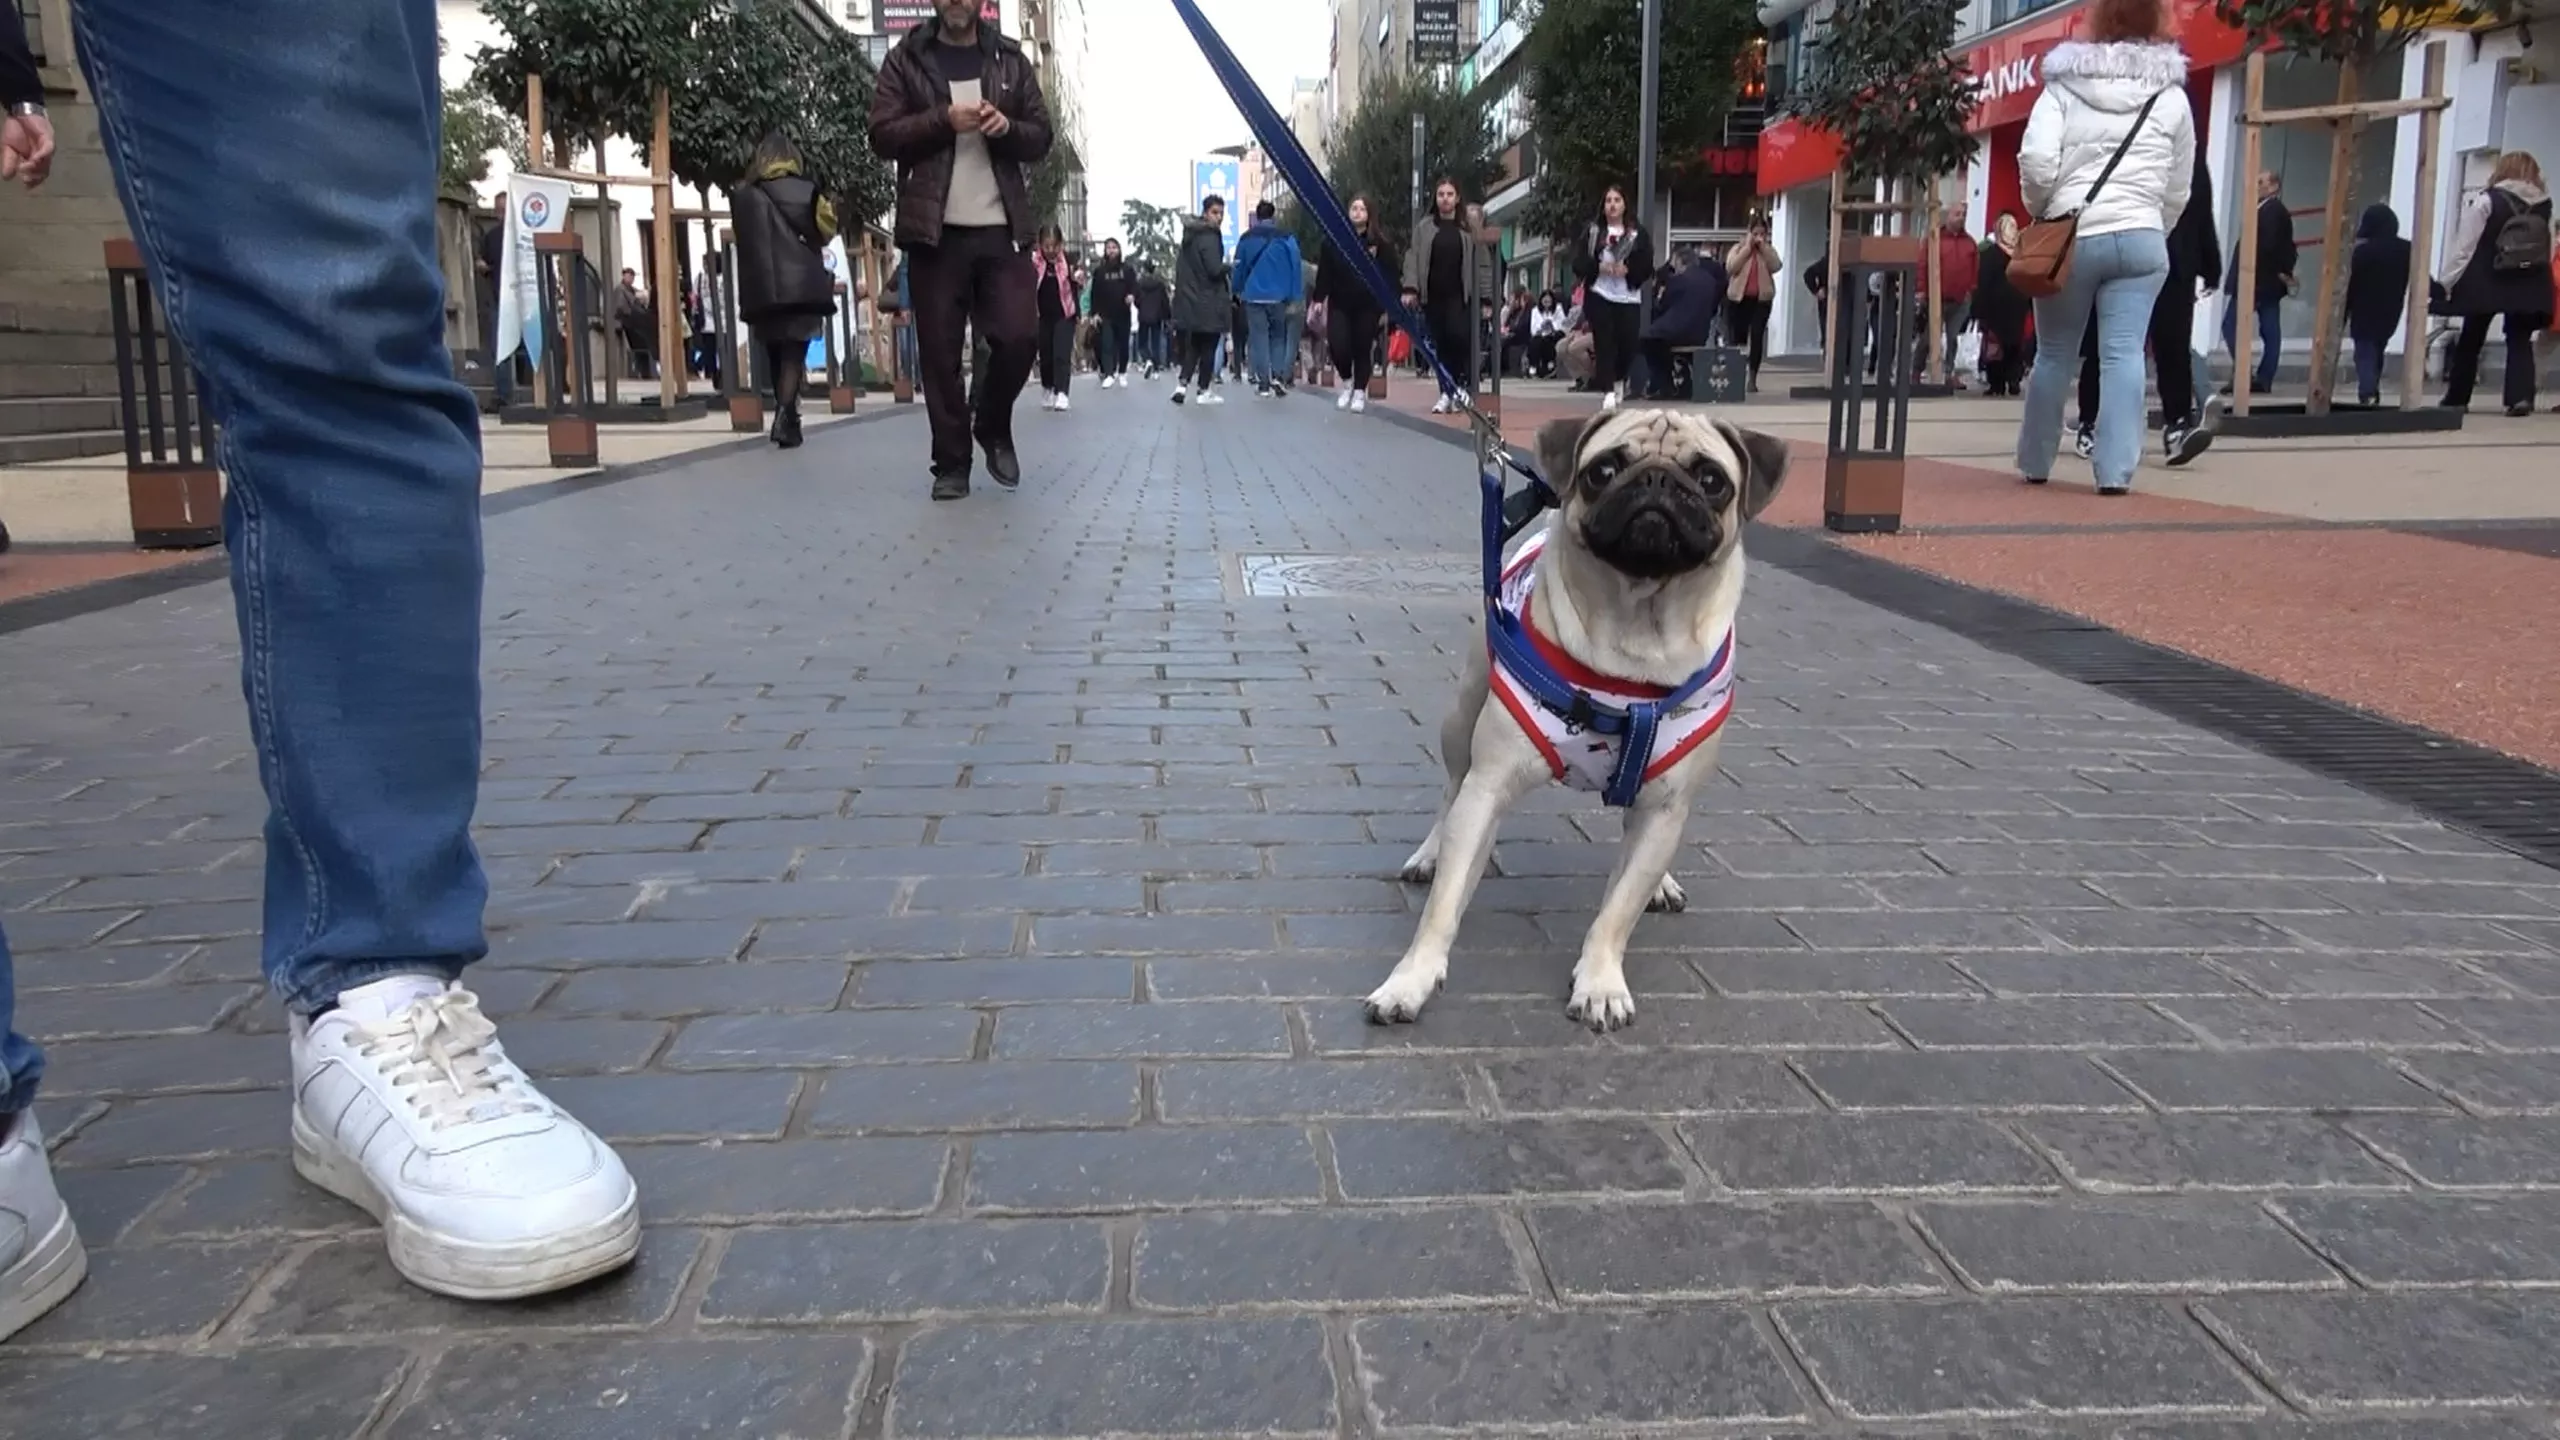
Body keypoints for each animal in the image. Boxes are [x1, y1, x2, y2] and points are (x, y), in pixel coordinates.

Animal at [1382, 409, 1781, 1024]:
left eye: (1711, 479)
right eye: (1604, 470)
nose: (1656, 480)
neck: (1636, 634)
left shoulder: (1666, 806)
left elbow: (1618, 911)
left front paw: (1600, 982)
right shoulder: (1488, 787)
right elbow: (1444, 904)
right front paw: (1412, 979)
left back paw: (1659, 883)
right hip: (1462, 718)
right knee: (1450, 793)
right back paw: (1429, 852)